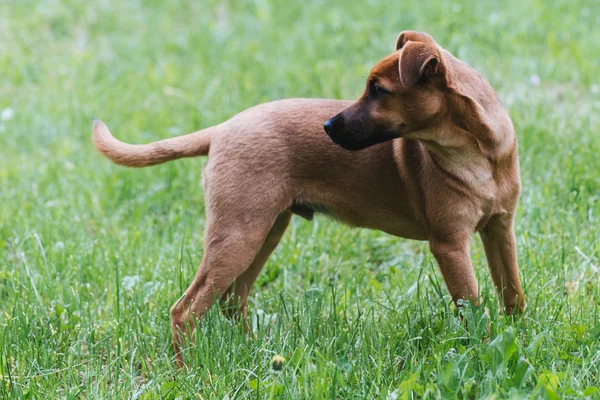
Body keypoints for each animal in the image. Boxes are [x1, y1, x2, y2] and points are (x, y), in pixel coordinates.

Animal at [91, 29, 524, 364]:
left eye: (378, 91)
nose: (328, 127)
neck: (477, 150)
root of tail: (222, 129)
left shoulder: (500, 230)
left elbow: (512, 293)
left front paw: (520, 336)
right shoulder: (450, 245)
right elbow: (473, 308)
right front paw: (486, 351)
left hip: (263, 232)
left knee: (233, 300)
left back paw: (253, 352)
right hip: (238, 236)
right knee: (185, 309)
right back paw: (188, 369)